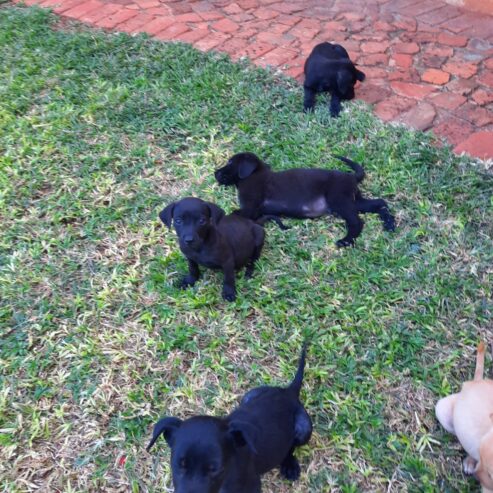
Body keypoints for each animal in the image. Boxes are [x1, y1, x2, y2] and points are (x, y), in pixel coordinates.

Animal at [144, 346, 312, 492]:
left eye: (215, 469)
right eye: (179, 464)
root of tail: (288, 393)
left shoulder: (253, 486)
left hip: (304, 429)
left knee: (291, 446)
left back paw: (290, 465)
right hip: (249, 396)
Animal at [215, 152, 396, 248]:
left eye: (230, 162)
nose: (215, 173)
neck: (252, 175)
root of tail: (351, 177)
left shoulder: (250, 207)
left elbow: (231, 214)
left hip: (340, 201)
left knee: (357, 222)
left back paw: (346, 241)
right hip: (354, 201)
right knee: (380, 203)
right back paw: (389, 224)